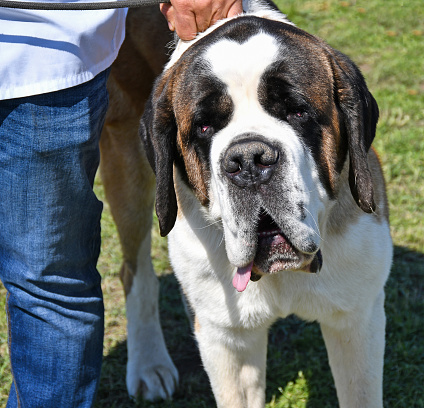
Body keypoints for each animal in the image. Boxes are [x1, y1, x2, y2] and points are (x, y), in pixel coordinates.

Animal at [101, 1, 392, 406]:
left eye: (297, 111)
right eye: (204, 127)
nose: (249, 160)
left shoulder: (357, 318)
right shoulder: (228, 340)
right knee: (135, 268)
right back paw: (148, 364)